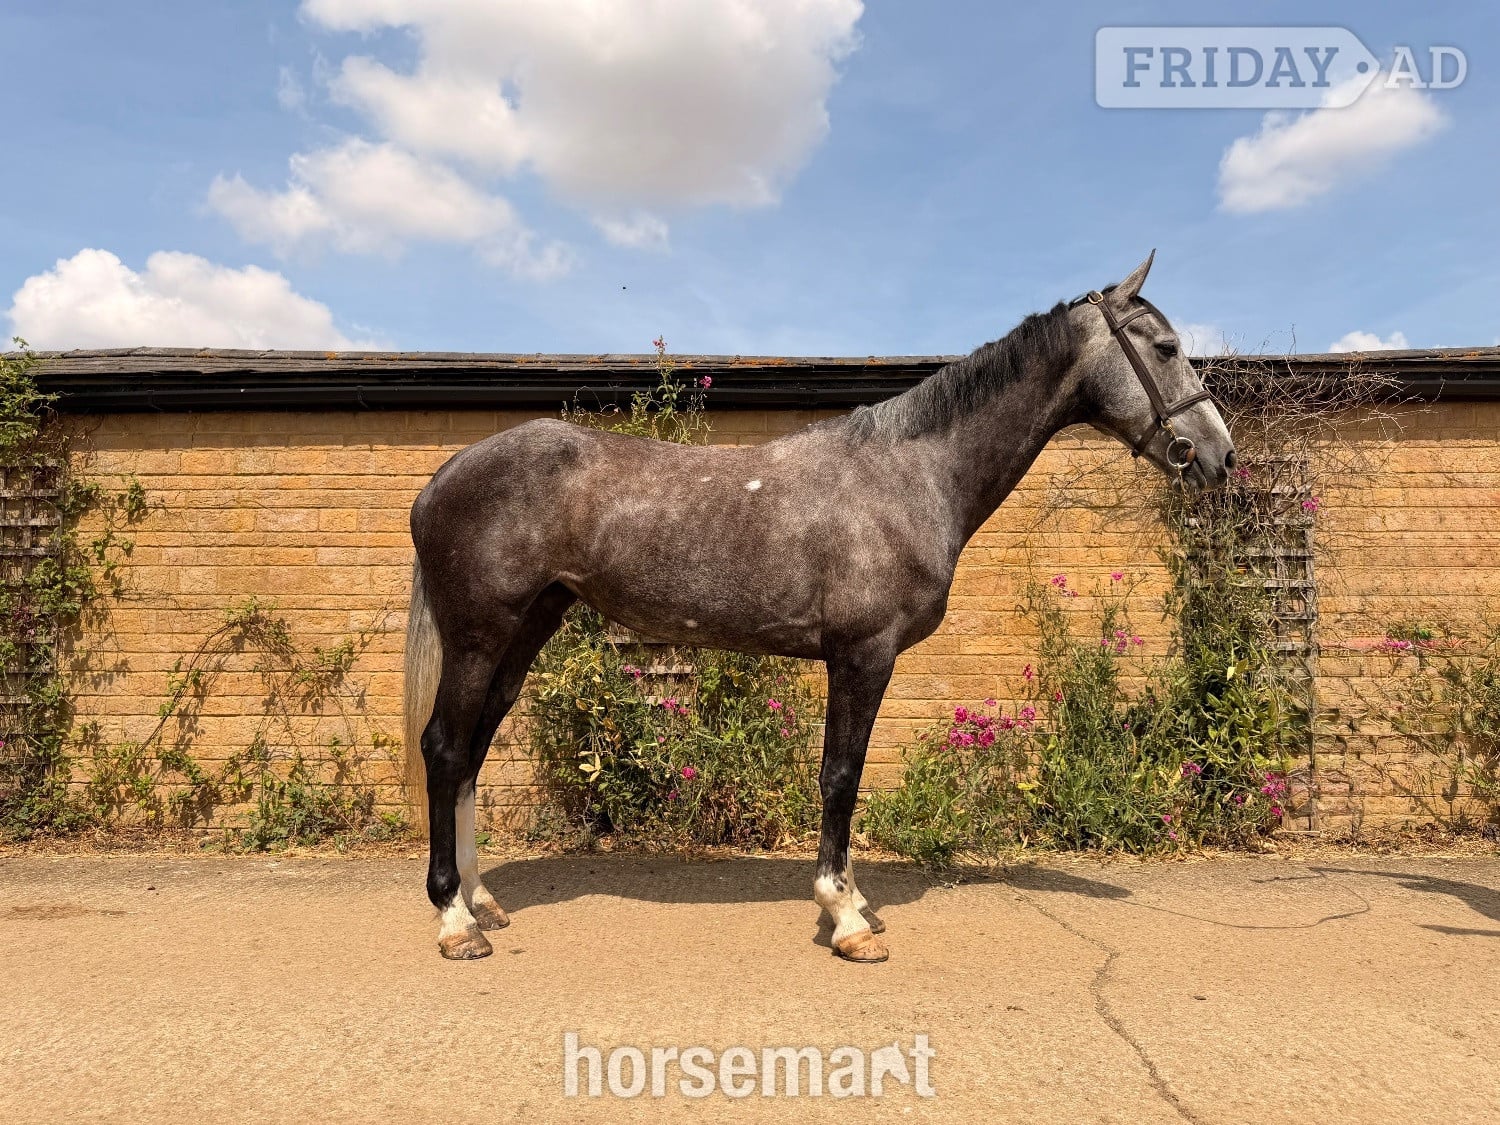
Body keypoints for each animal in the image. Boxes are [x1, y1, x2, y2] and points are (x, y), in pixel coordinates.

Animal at [402, 252, 1235, 962]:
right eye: (1165, 347)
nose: (1220, 455)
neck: (911, 473)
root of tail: (441, 480)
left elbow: (846, 777)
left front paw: (854, 905)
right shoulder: (862, 653)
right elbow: (841, 775)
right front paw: (845, 917)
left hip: (526, 630)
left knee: (473, 750)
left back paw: (480, 899)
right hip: (479, 636)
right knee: (444, 747)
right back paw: (453, 919)